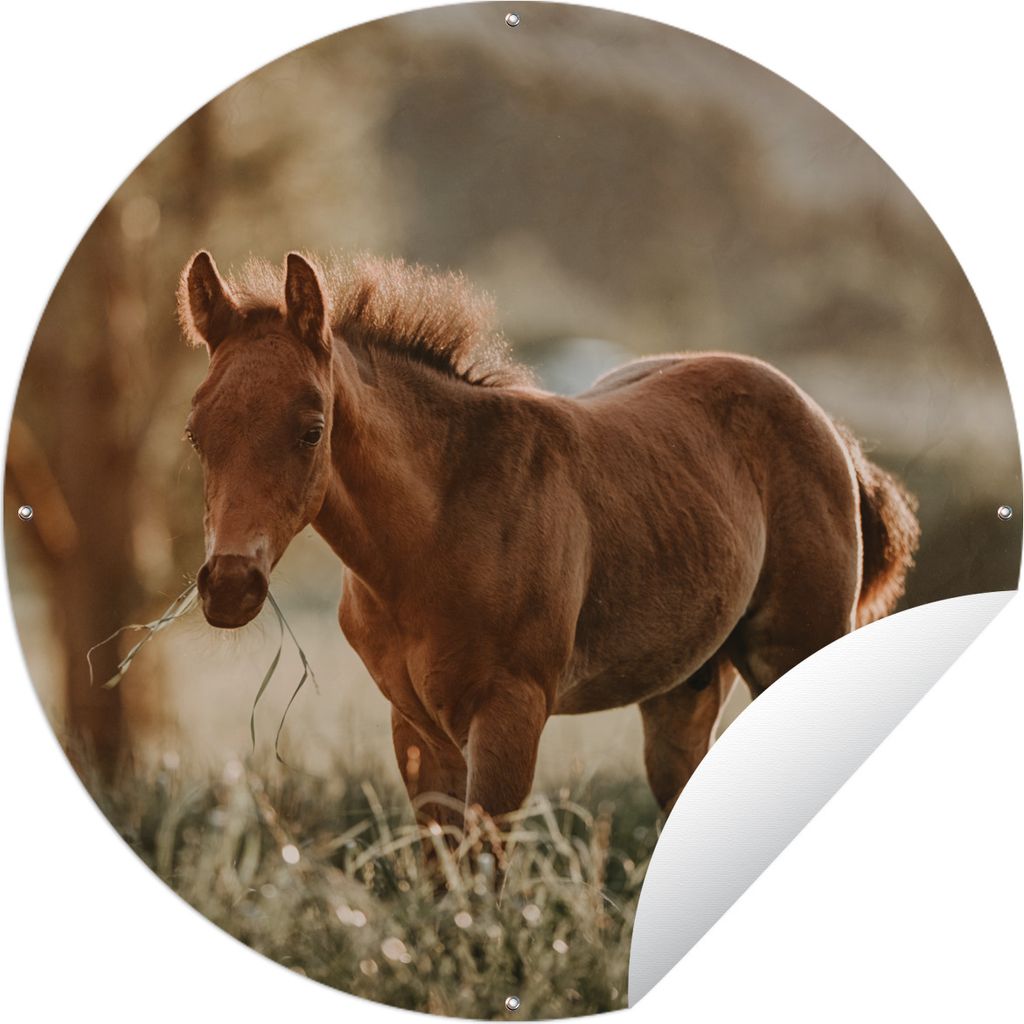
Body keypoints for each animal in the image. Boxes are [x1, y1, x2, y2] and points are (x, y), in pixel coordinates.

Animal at [179, 250, 919, 834]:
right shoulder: (415, 726)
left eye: (312, 429)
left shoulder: (512, 711)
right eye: (196, 433)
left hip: (793, 650)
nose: (230, 586)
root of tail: (827, 424)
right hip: (684, 689)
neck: (438, 527)